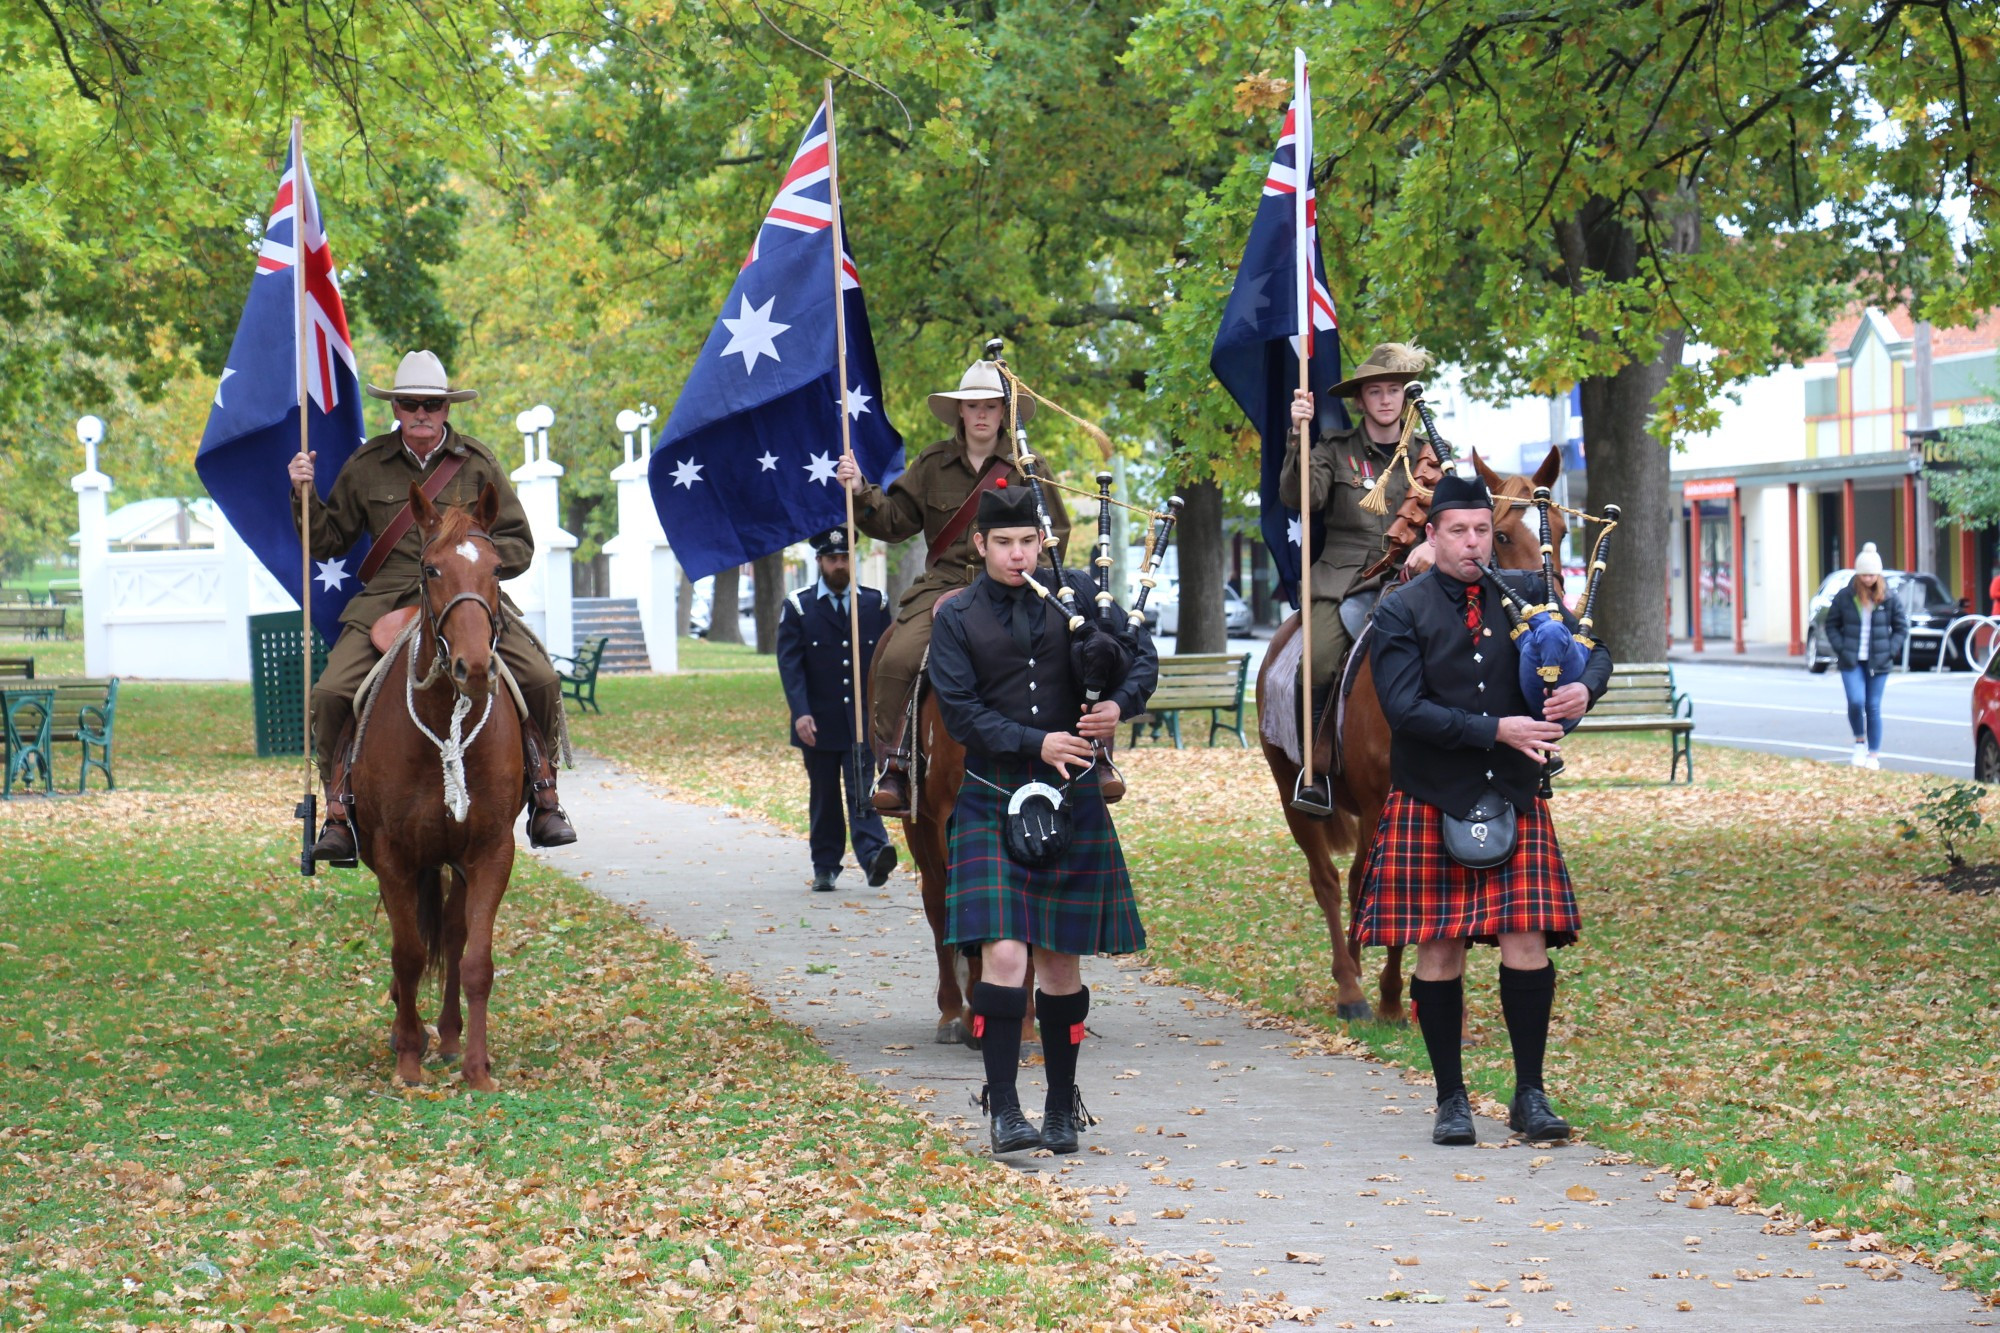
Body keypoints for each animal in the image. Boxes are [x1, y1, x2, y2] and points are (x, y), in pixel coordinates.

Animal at [350, 482, 524, 1088]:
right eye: (430, 569)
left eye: (497, 569)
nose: (474, 667)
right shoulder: (393, 853)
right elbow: (406, 953)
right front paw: (407, 1058)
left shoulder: (491, 849)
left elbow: (476, 961)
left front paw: (477, 1068)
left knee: (450, 933)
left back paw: (448, 1036)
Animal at [1248, 446, 1560, 1016]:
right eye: (1503, 535)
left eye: (1563, 532)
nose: (1555, 619)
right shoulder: (1382, 802)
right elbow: (1382, 895)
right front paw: (1391, 998)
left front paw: (1417, 1002)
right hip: (1291, 792)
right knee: (1331, 881)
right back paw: (1349, 986)